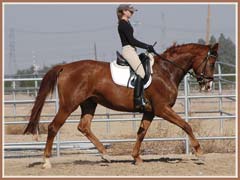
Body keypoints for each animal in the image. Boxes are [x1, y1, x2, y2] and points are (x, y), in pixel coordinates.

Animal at [23, 43, 218, 168]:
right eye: (211, 62)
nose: (208, 85)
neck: (166, 71)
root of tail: (65, 67)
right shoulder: (163, 109)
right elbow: (186, 125)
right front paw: (200, 153)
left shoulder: (150, 111)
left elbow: (141, 133)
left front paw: (136, 158)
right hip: (68, 105)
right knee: (53, 127)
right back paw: (47, 161)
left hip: (89, 104)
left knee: (84, 127)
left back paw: (105, 154)